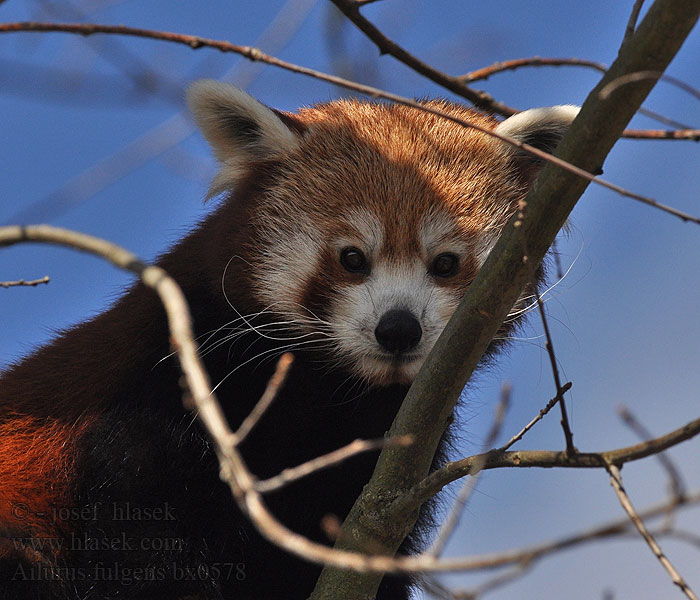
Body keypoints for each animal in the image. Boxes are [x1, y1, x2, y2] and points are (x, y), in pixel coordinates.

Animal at [0, 81, 576, 600]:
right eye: (351, 258)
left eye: (446, 263)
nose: (398, 329)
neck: (326, 394)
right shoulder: (163, 393)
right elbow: (140, 532)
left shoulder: (391, 469)